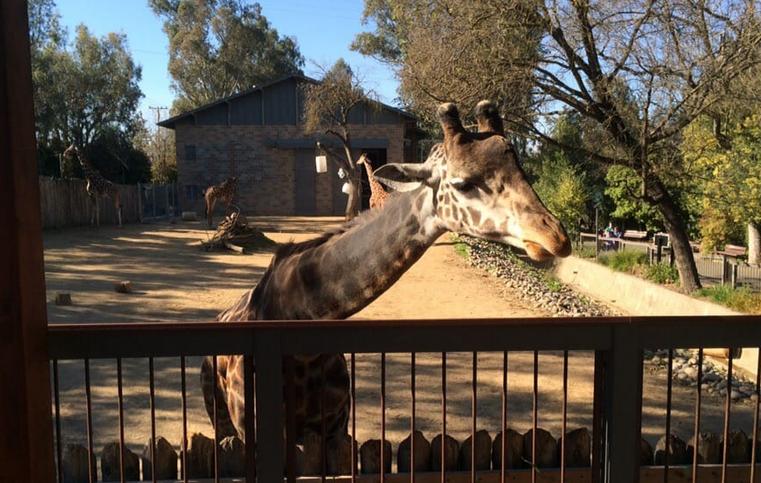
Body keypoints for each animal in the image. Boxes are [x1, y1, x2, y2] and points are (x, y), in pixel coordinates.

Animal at [202, 100, 568, 474]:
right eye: (463, 183)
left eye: (522, 170)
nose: (554, 237)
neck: (297, 313)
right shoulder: (256, 431)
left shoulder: (336, 427)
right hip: (219, 415)